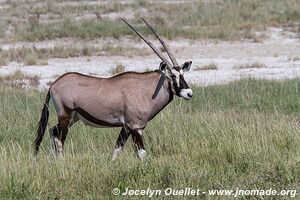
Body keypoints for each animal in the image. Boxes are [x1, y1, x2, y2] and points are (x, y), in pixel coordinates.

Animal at [32, 18, 192, 159]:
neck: (146, 89)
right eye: (172, 76)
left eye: (183, 74)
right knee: (59, 138)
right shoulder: (136, 127)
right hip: (65, 116)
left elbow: (117, 149)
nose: (189, 93)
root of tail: (54, 83)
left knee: (53, 131)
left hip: (73, 118)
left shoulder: (126, 127)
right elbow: (141, 153)